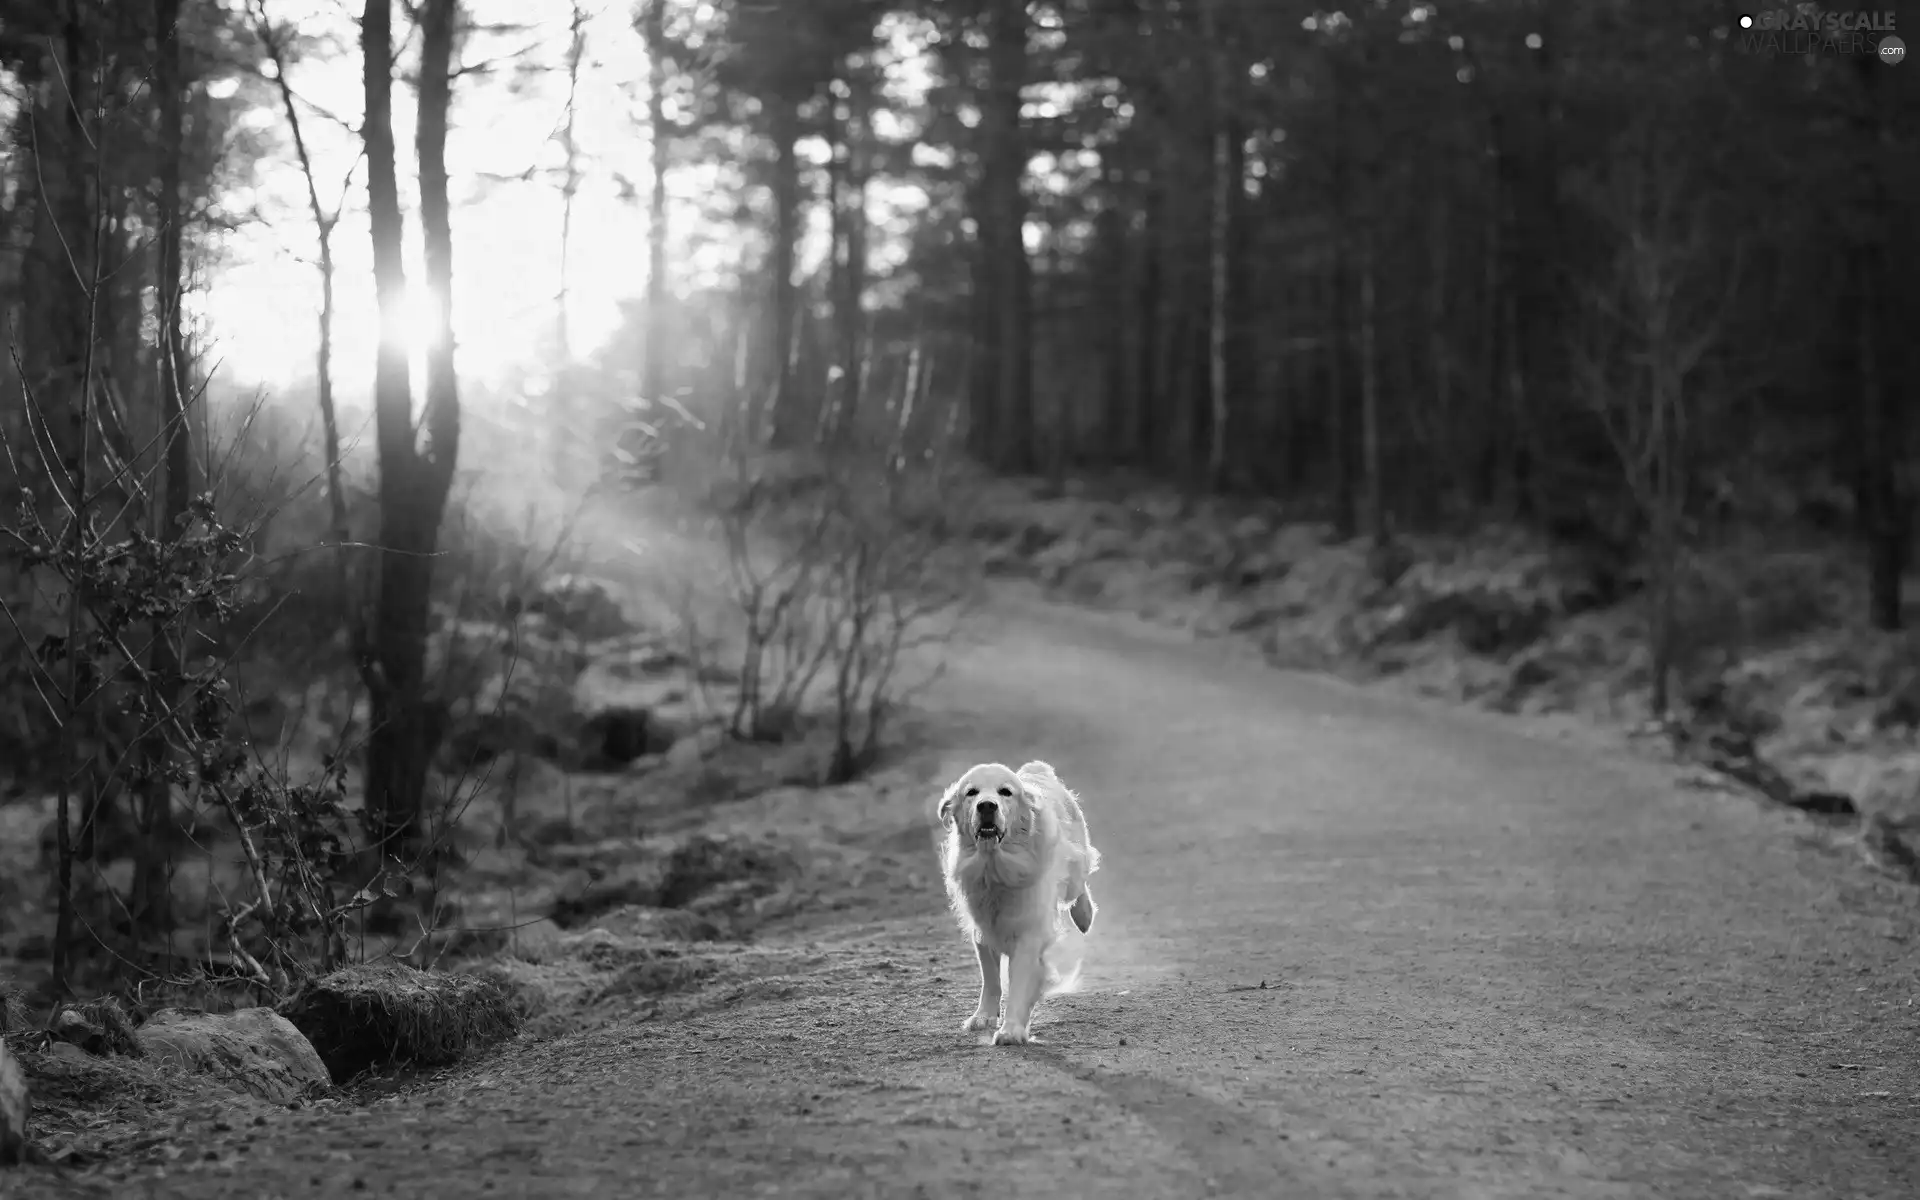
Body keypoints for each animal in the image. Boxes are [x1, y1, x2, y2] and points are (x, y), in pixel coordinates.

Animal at [936, 764, 1105, 1044]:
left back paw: (1085, 916)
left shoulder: (1029, 933)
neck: (995, 867)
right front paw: (983, 1016)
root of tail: (1037, 769)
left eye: (1006, 792)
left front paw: (1012, 1029)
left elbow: (1019, 982)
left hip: (1074, 863)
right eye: (971, 792)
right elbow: (991, 978)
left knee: (1079, 884)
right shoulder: (984, 928)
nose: (987, 806)